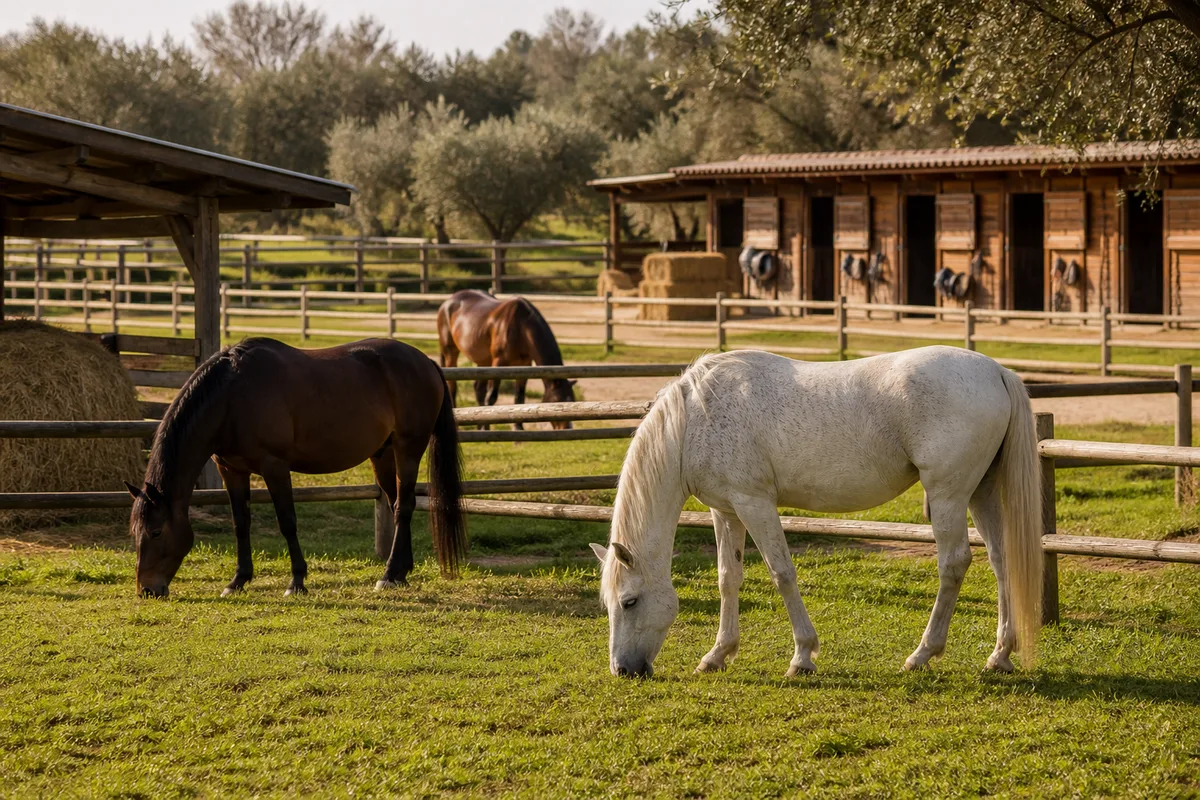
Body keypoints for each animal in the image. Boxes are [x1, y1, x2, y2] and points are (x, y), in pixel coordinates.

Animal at [125, 337, 467, 599]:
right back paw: (399, 573)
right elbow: (240, 524)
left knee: (404, 506)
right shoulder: (231, 470)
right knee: (397, 504)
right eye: (135, 532)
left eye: (156, 531)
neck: (231, 397)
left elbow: (287, 522)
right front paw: (237, 581)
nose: (147, 590)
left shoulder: (274, 467)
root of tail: (426, 362)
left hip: (409, 448)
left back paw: (388, 574)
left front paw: (297, 581)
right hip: (383, 455)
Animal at [436, 289, 576, 430]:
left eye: (572, 400)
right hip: (450, 352)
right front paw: (487, 427)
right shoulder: (498, 363)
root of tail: (448, 301)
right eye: (557, 400)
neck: (521, 326)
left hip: (483, 361)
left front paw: (518, 427)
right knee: (452, 386)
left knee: (478, 389)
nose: (567, 428)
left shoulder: (524, 365)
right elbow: (491, 397)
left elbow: (519, 397)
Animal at [590, 346, 1042, 678]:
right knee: (1001, 561)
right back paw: (999, 656)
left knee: (954, 564)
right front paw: (717, 655)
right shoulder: (727, 510)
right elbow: (727, 578)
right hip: (981, 492)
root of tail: (997, 372)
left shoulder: (755, 503)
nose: (623, 670)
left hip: (948, 495)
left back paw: (922, 654)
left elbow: (782, 574)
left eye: (629, 601)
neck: (695, 420)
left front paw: (802, 657)